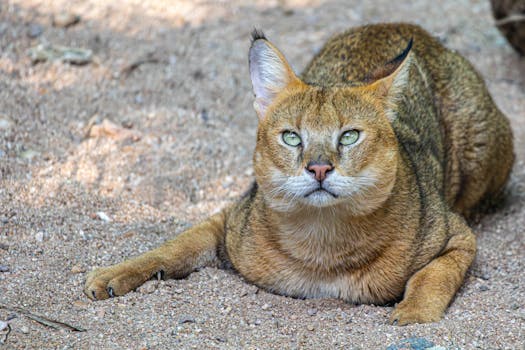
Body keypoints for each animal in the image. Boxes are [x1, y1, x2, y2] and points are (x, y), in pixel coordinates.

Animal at [85, 23, 512, 326]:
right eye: (291, 137)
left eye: (350, 135)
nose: (319, 167)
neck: (321, 246)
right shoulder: (229, 219)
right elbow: (173, 246)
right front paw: (115, 272)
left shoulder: (458, 237)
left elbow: (434, 275)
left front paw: (413, 312)